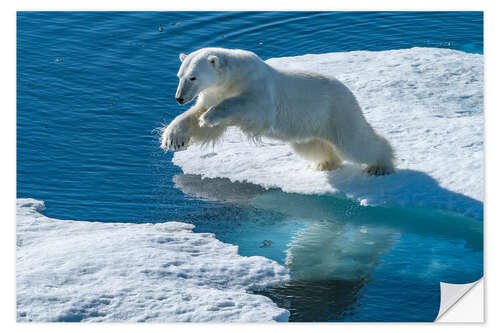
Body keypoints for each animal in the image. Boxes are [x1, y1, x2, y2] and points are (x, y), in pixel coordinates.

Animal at [160, 48, 394, 176]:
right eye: (179, 76)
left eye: (193, 77)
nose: (179, 98)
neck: (233, 77)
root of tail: (348, 92)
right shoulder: (213, 93)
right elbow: (198, 120)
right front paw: (173, 138)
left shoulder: (258, 87)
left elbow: (253, 108)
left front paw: (209, 116)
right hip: (308, 126)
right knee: (312, 146)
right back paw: (324, 163)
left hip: (336, 110)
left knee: (356, 143)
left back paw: (379, 166)